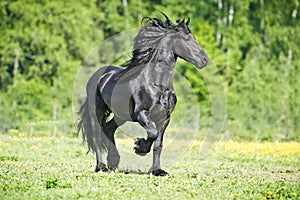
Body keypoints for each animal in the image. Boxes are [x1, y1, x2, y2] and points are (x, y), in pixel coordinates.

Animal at [77, 14, 209, 176]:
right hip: (96, 111)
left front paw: (157, 170)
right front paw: (140, 147)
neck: (157, 85)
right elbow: (152, 133)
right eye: (186, 39)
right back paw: (101, 167)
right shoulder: (141, 114)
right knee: (96, 135)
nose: (204, 60)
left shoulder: (164, 118)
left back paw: (113, 162)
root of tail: (97, 75)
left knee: (108, 129)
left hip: (120, 115)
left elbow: (158, 144)